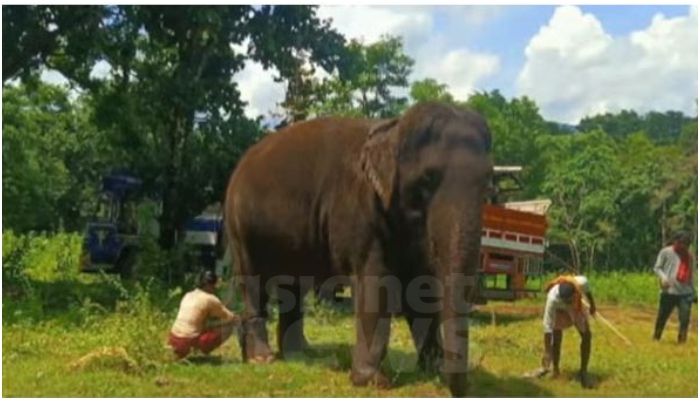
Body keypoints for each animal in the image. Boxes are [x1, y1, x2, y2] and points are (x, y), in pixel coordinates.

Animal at [224, 101, 492, 396]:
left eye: (487, 182)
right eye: (427, 180)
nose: (458, 386)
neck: (393, 128)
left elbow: (420, 290)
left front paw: (434, 369)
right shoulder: (358, 212)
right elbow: (376, 285)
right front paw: (373, 381)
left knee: (292, 287)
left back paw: (300, 354)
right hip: (240, 227)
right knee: (253, 282)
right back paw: (263, 358)